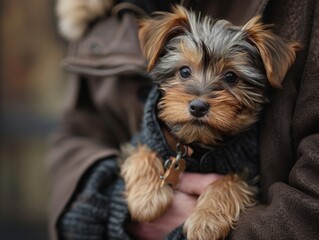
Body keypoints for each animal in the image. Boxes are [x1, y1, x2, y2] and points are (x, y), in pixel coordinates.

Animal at [121, 6, 298, 240]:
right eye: (184, 71)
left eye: (231, 77)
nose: (198, 107)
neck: (198, 143)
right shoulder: (142, 138)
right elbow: (142, 153)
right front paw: (146, 198)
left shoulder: (248, 172)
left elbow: (230, 182)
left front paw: (206, 221)